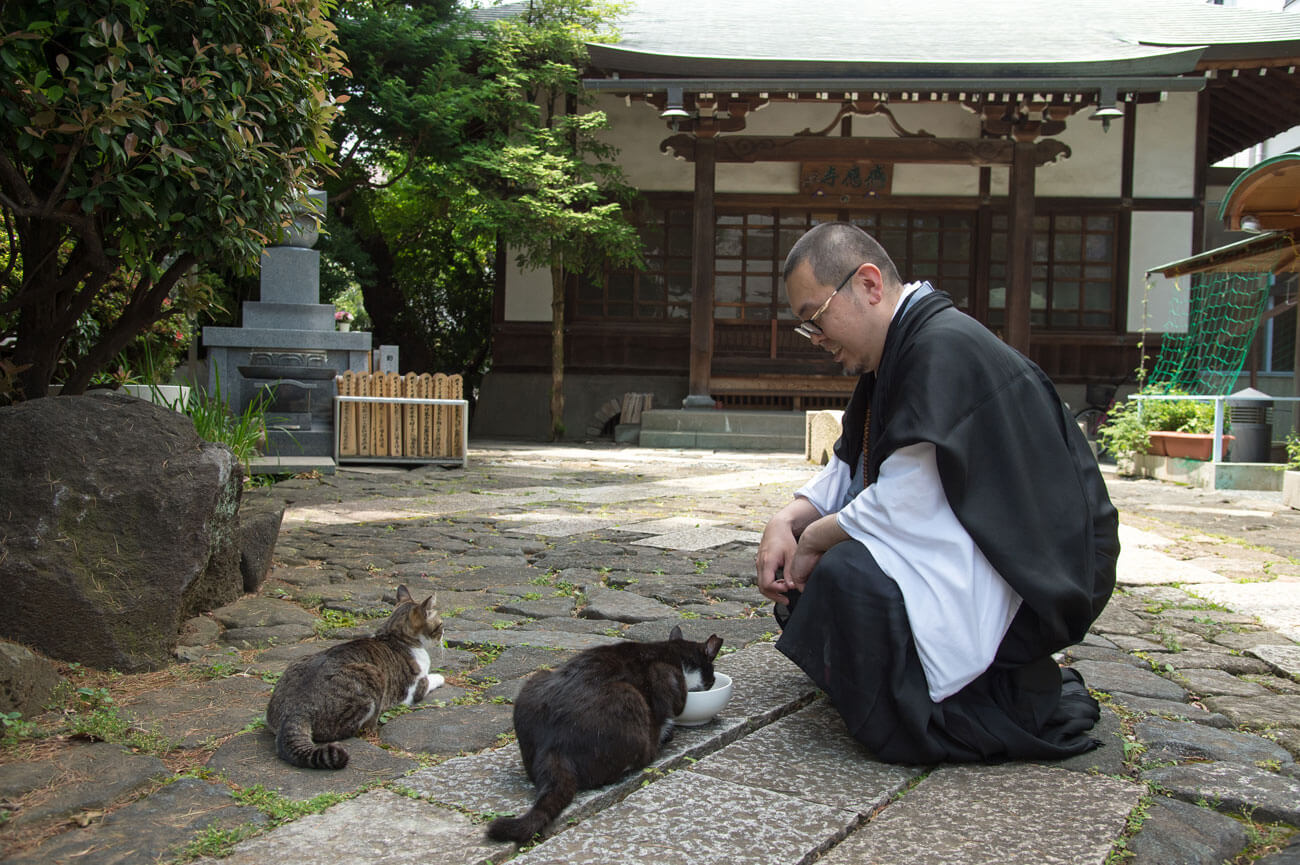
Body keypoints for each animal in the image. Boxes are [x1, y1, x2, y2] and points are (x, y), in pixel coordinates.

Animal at [265, 582, 447, 764]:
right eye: (440, 626)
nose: (444, 633)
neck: (394, 635)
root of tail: (294, 710)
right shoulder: (415, 689)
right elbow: (431, 678)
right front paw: (440, 677)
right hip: (372, 675)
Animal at [488, 626, 728, 842]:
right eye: (711, 679)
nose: (711, 683)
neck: (671, 652)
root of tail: (552, 746)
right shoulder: (666, 675)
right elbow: (675, 704)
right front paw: (670, 727)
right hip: (629, 698)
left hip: (533, 681)